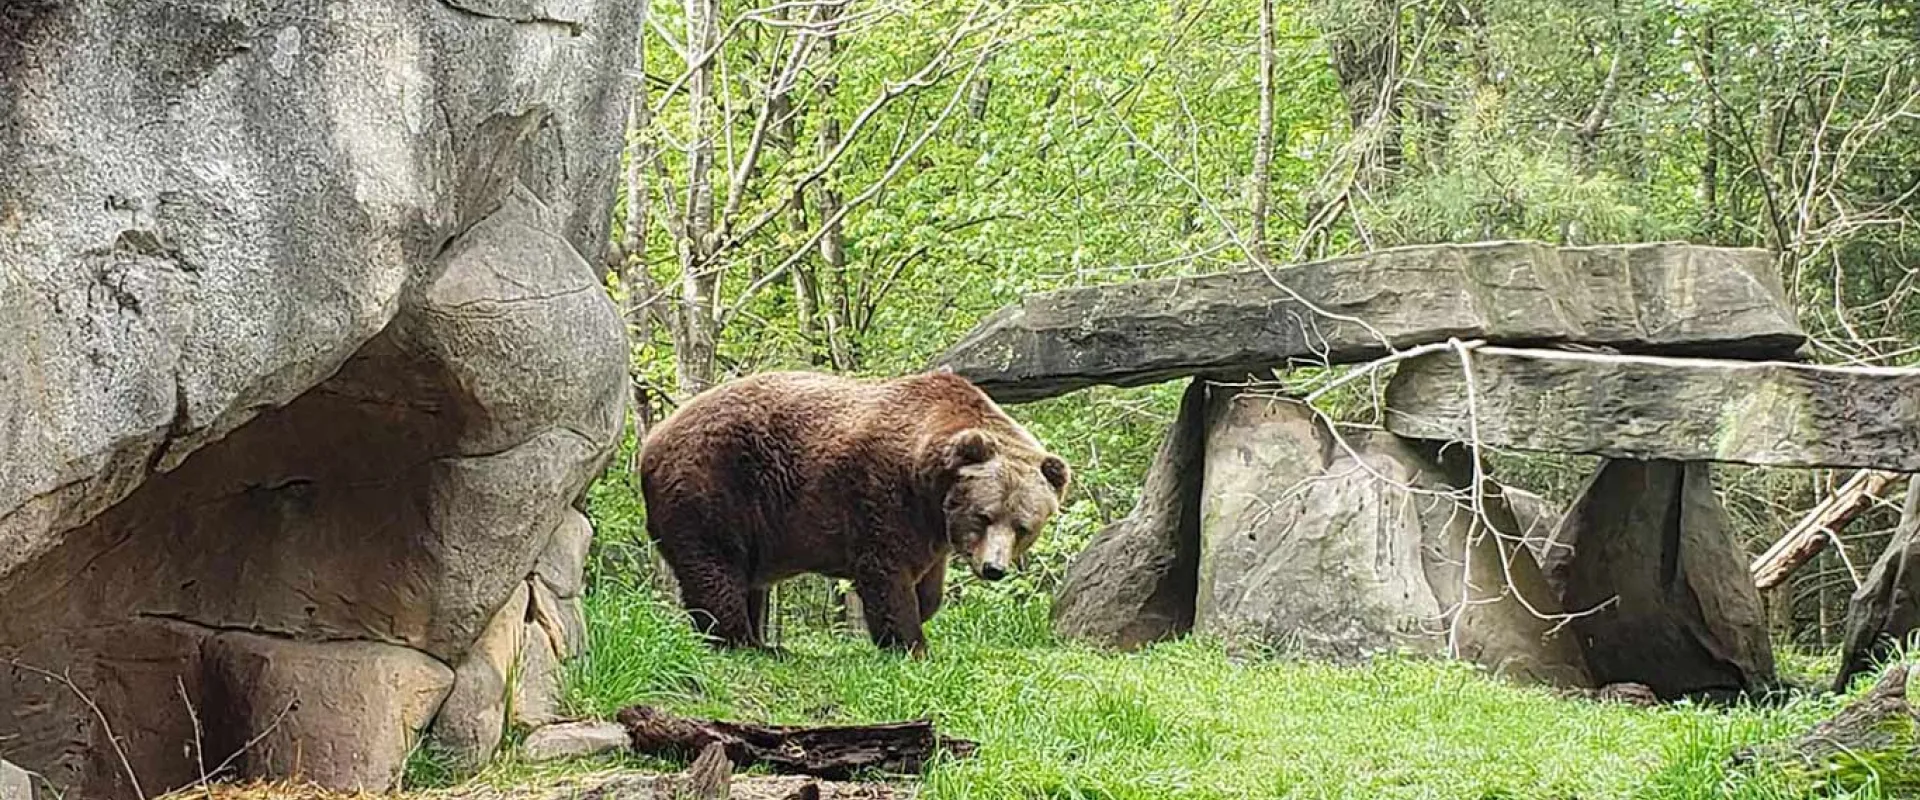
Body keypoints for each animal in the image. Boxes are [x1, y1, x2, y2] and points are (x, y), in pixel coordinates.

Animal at [638, 369, 1071, 654]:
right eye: (984, 516)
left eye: (1023, 527)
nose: (993, 568)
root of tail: (651, 440)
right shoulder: (881, 493)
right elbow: (887, 571)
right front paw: (911, 644)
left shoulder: (932, 528)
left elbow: (929, 582)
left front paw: (925, 609)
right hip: (714, 484)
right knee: (716, 567)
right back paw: (746, 642)